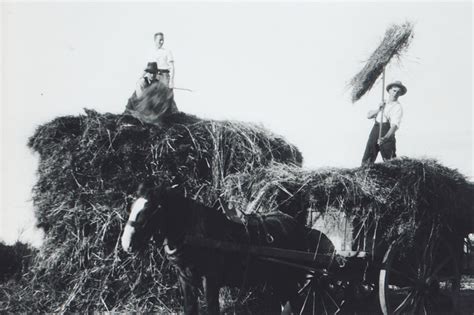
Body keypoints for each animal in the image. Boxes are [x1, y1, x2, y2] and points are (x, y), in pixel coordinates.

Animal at [122, 185, 336, 315]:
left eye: (150, 209)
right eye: (132, 206)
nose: (125, 243)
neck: (197, 234)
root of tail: (300, 227)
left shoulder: (210, 280)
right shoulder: (185, 280)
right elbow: (190, 308)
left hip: (290, 278)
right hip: (279, 279)